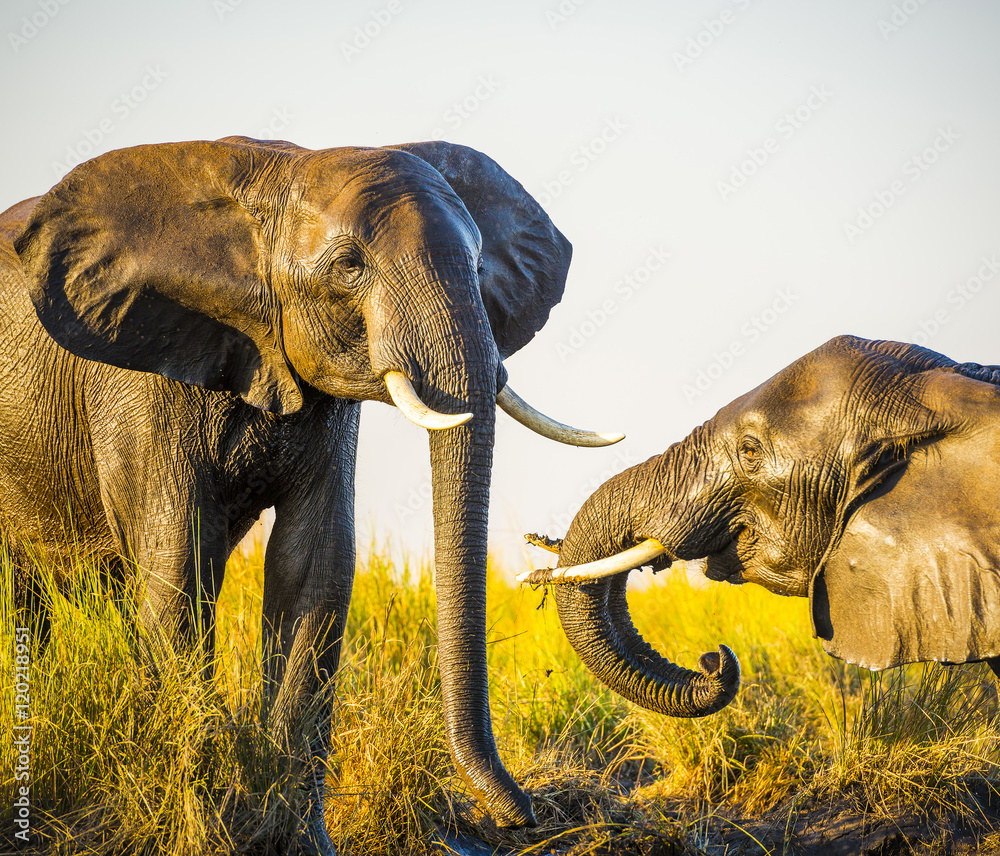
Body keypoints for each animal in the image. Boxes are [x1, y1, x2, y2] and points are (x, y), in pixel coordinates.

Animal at [1, 135, 622, 849]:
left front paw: (296, 842)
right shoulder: (141, 377)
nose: (530, 812)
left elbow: (313, 567)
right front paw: (196, 834)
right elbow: (178, 563)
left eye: (476, 264)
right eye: (349, 265)